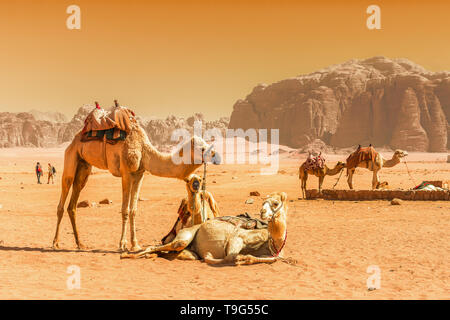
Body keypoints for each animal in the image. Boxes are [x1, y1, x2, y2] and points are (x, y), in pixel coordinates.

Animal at [52, 102, 221, 252]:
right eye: (202, 148)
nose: (217, 156)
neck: (144, 149)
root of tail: (75, 138)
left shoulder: (139, 174)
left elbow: (134, 209)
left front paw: (135, 244)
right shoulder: (126, 172)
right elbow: (125, 210)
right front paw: (122, 244)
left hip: (84, 166)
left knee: (73, 202)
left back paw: (80, 244)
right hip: (71, 156)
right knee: (63, 195)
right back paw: (55, 243)